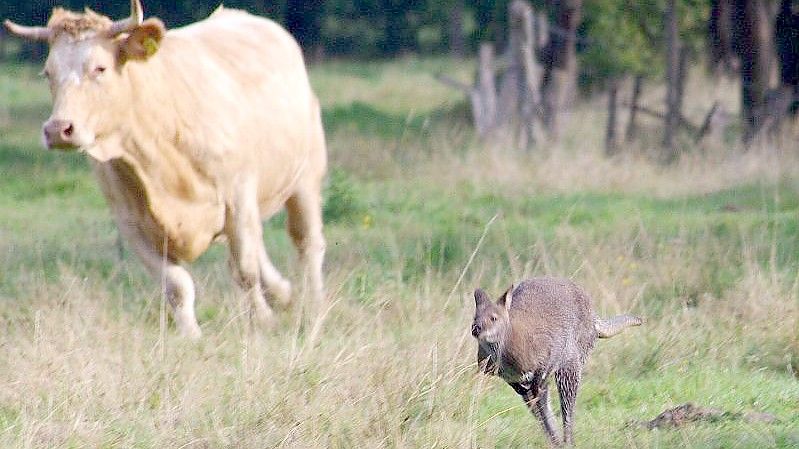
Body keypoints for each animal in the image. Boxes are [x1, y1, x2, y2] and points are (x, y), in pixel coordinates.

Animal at [4, 0, 326, 336]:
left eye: (99, 68)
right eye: (48, 73)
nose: (58, 129)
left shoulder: (238, 195)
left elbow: (244, 269)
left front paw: (262, 322)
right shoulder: (131, 222)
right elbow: (176, 285)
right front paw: (191, 336)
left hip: (306, 176)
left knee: (307, 243)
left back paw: (314, 307)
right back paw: (283, 293)